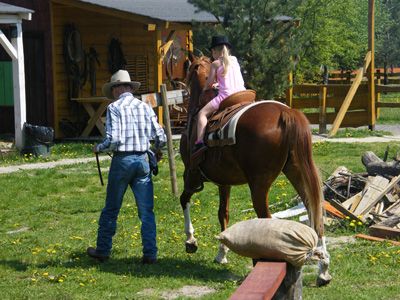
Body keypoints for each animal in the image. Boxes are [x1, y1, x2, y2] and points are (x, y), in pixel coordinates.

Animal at [180, 55, 332, 286]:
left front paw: (191, 241)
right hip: (296, 171)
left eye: (188, 72)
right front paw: (221, 253)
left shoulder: (190, 175)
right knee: (314, 212)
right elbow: (223, 214)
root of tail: (286, 112)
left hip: (259, 185)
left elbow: (184, 200)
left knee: (268, 218)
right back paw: (323, 269)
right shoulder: (224, 182)